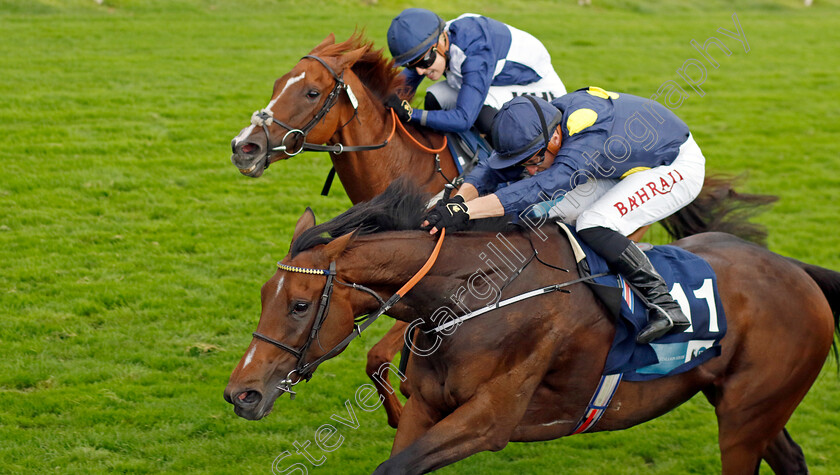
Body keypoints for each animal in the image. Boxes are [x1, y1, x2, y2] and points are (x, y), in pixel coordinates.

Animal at [221, 181, 832, 472]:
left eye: (300, 305)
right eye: (265, 296)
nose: (240, 393)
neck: (477, 297)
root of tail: (797, 270)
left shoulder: (489, 421)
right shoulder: (425, 406)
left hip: (746, 419)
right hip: (748, 407)